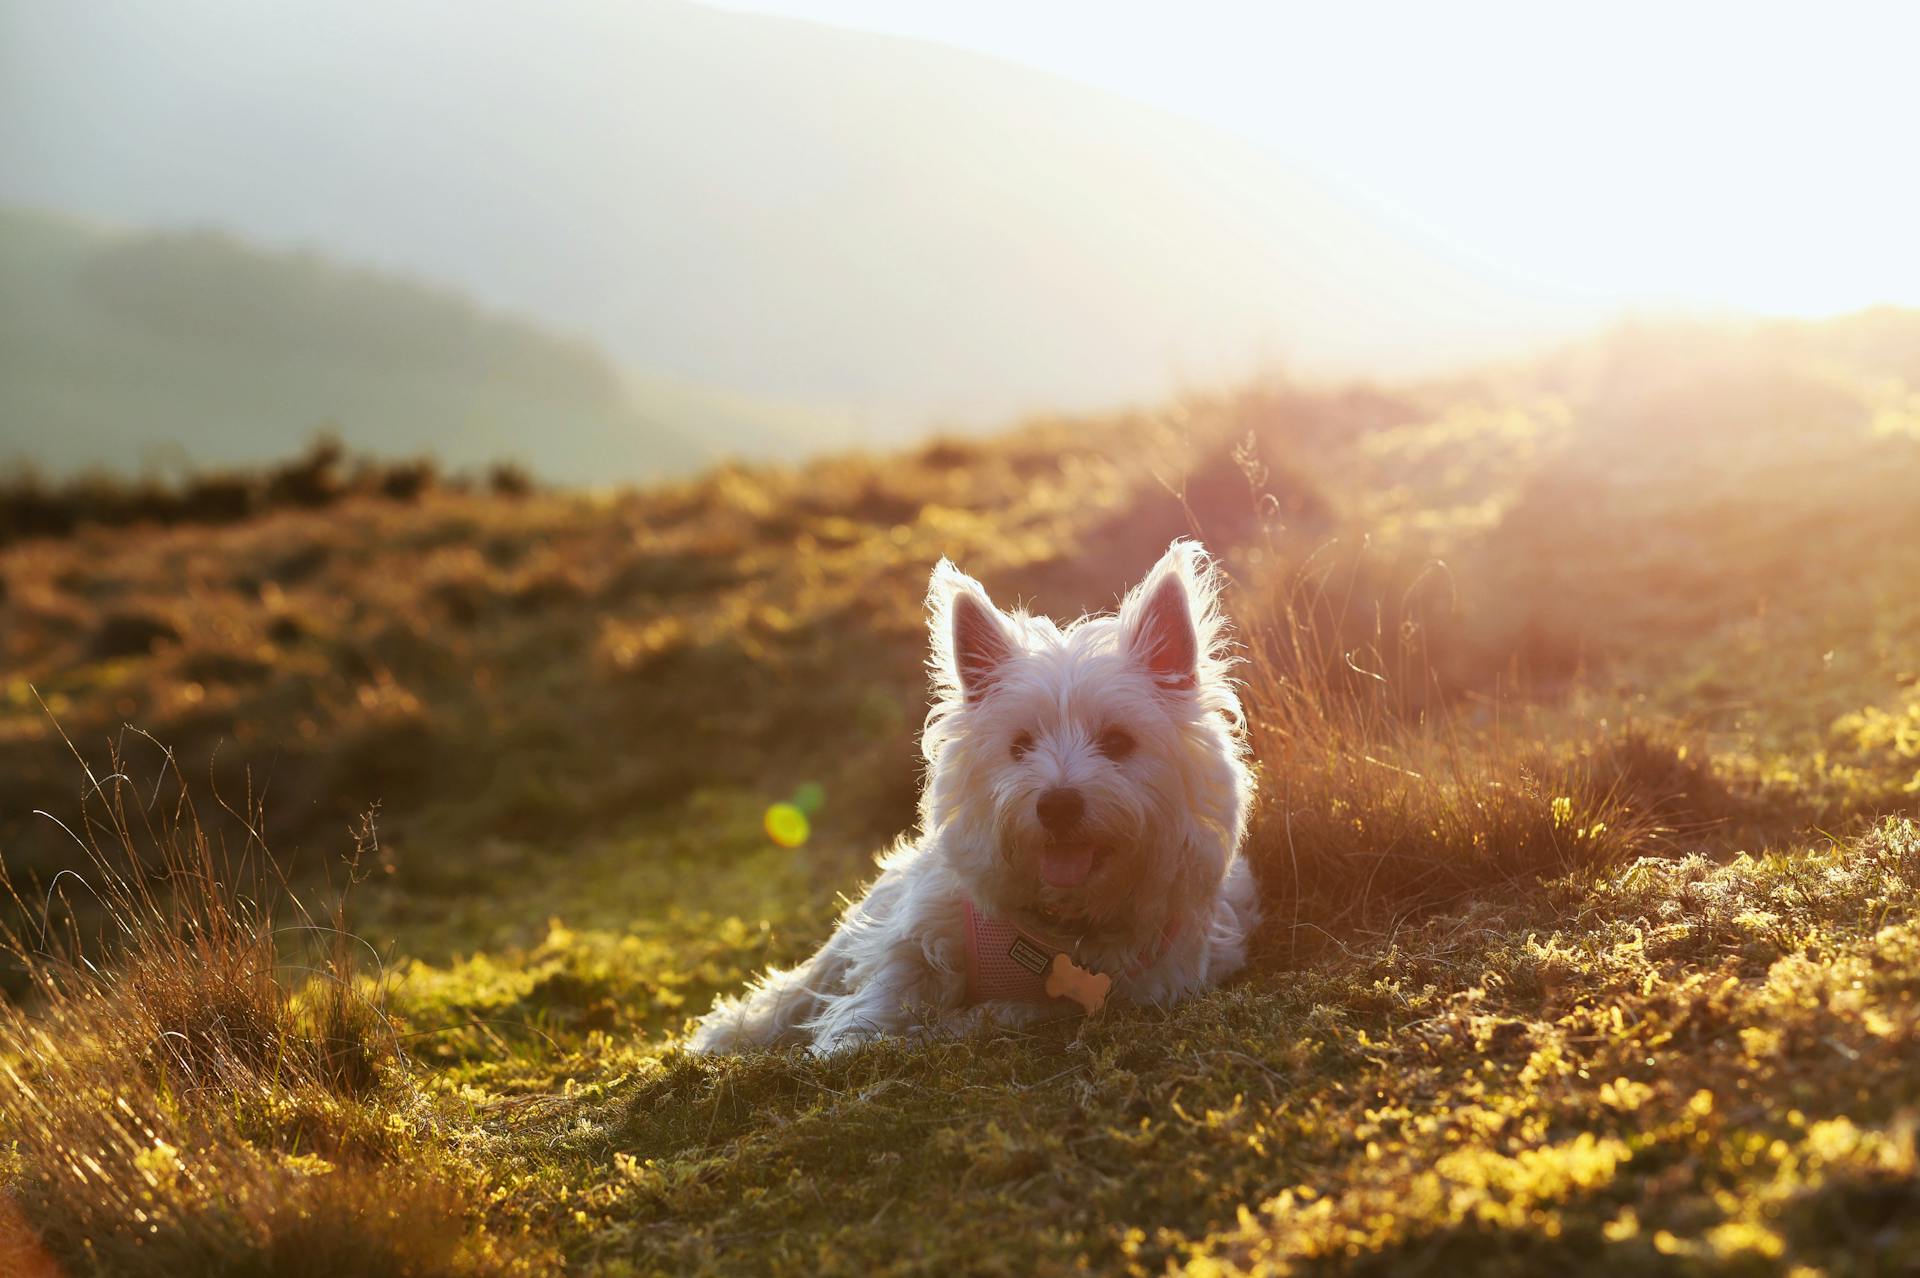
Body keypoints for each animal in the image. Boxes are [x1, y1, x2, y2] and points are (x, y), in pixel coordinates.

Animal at [691, 533, 1259, 1043]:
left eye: (1118, 741)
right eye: (1020, 744)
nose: (1057, 805)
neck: (1064, 927)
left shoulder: (1138, 985)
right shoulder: (917, 929)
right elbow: (883, 992)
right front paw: (843, 1043)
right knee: (804, 980)